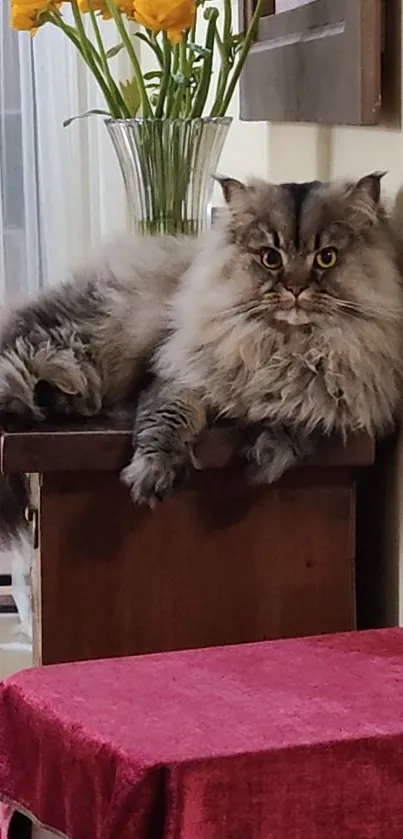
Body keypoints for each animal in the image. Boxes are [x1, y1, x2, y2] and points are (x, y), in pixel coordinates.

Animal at [0, 172, 403, 532]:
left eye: (326, 258)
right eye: (270, 258)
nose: (296, 288)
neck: (286, 347)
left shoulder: (338, 393)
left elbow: (303, 419)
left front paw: (267, 456)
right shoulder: (179, 377)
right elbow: (166, 422)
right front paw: (152, 474)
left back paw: (60, 402)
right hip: (75, 332)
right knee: (18, 356)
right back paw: (29, 404)